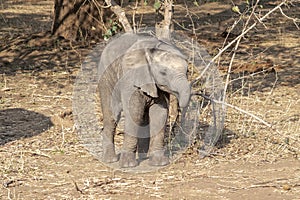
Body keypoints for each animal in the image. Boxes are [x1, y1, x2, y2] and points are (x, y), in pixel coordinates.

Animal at [99, 32, 192, 167]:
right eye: (163, 73)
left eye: (187, 71)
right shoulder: (131, 80)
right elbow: (134, 114)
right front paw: (128, 165)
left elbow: (159, 114)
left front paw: (159, 163)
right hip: (106, 77)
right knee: (111, 115)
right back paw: (110, 160)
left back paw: (143, 157)